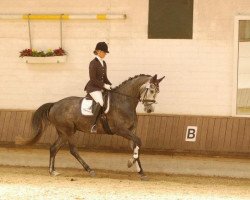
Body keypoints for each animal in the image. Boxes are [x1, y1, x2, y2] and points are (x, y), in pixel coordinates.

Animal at [17, 73, 164, 180]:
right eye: (151, 90)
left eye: (157, 92)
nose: (149, 109)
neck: (124, 102)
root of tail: (55, 104)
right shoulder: (121, 130)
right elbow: (138, 141)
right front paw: (130, 162)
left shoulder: (131, 131)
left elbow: (136, 146)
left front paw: (141, 172)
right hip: (68, 131)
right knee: (73, 150)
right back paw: (90, 170)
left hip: (63, 132)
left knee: (53, 148)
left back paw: (52, 171)